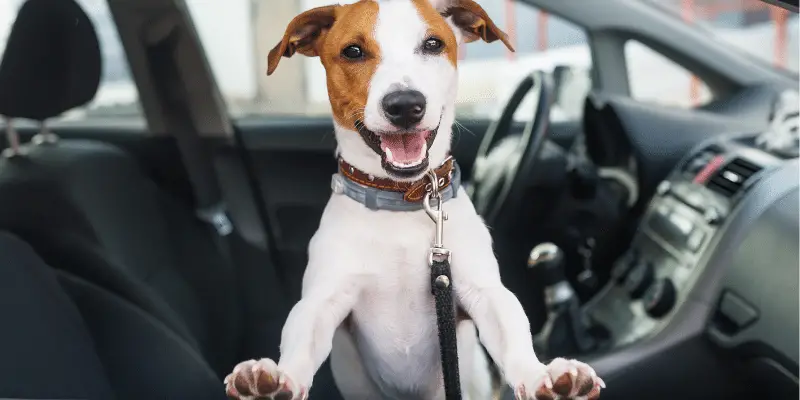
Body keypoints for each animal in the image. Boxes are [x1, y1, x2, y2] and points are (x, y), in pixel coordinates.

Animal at [222, 0, 604, 400]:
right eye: (353, 51)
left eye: (433, 44)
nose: (405, 105)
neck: (400, 200)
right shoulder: (323, 299)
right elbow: (300, 338)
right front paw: (276, 380)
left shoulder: (483, 292)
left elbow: (513, 330)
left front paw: (542, 375)